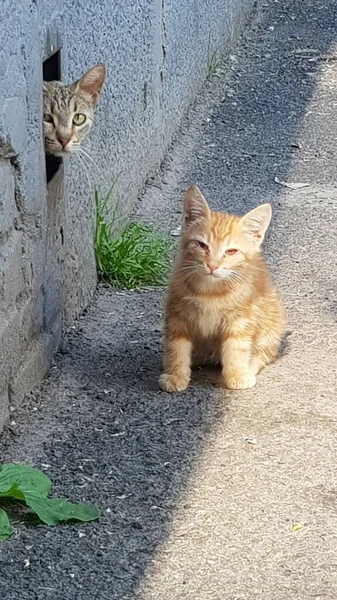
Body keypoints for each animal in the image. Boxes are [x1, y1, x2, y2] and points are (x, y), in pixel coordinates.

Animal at [159, 185, 284, 392]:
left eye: (231, 251)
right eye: (202, 245)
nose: (212, 265)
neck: (210, 291)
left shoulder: (241, 318)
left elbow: (237, 346)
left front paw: (237, 373)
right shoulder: (177, 315)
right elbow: (176, 346)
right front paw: (175, 374)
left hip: (272, 320)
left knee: (266, 351)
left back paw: (250, 365)